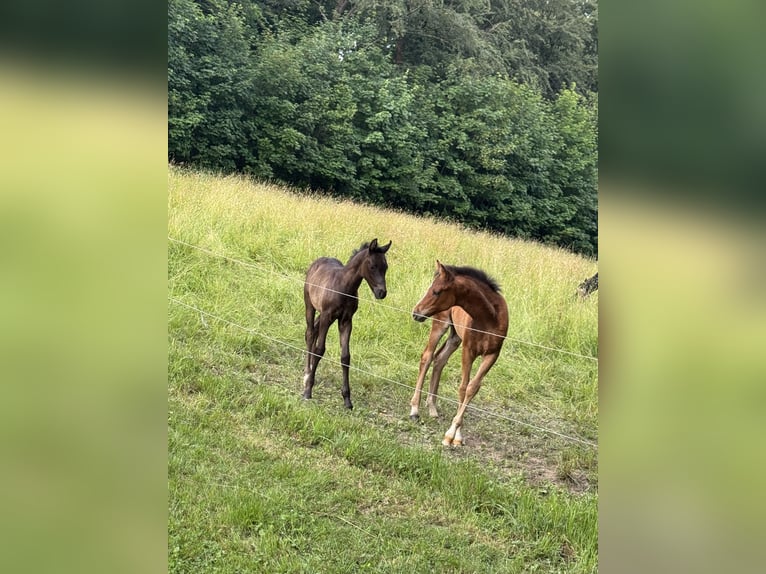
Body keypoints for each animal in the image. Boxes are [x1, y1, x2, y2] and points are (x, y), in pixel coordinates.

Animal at [303, 238, 392, 409]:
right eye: (372, 266)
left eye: (386, 267)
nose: (382, 293)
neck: (344, 287)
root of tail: (318, 261)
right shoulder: (327, 317)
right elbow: (319, 350)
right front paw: (308, 390)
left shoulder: (346, 321)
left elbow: (345, 357)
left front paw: (347, 399)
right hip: (310, 305)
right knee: (310, 333)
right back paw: (306, 373)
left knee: (313, 330)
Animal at [410, 260, 508, 446]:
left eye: (436, 291)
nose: (416, 312)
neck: (489, 318)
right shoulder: (468, 350)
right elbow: (463, 388)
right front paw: (451, 435)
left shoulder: (492, 355)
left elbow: (472, 388)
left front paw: (456, 436)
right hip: (440, 324)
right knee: (427, 357)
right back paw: (414, 409)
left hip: (455, 336)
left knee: (439, 359)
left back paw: (432, 407)